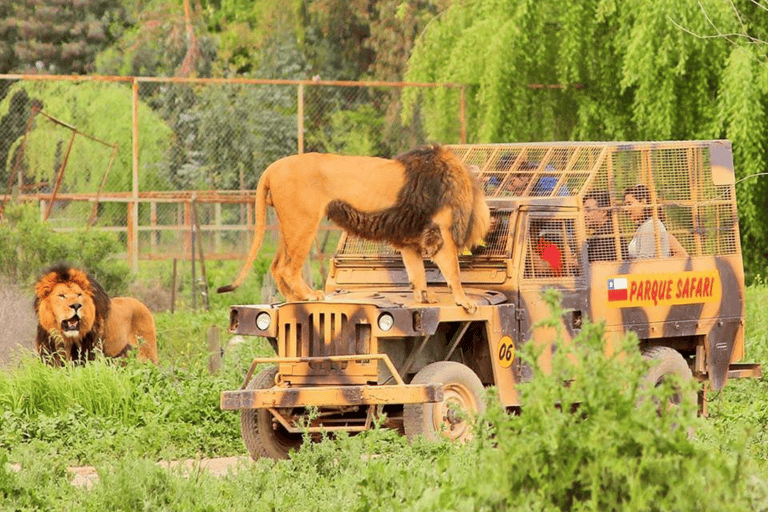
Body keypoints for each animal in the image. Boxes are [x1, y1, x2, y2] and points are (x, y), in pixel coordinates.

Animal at [219, 144, 488, 312]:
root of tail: (272, 167)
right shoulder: (440, 232)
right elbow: (453, 270)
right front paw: (464, 301)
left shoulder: (410, 237)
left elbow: (417, 272)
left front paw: (423, 297)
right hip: (303, 223)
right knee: (288, 268)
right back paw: (309, 295)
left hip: (287, 225)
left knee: (276, 267)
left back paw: (293, 298)